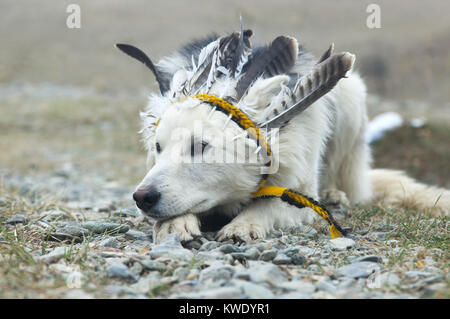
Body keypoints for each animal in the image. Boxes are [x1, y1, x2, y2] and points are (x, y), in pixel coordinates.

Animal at [117, 30, 450, 245]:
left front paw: (246, 223)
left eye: (200, 146)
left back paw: (334, 193)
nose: (142, 197)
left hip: (351, 97)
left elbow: (269, 206)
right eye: (158, 147)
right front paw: (174, 223)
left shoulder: (297, 188)